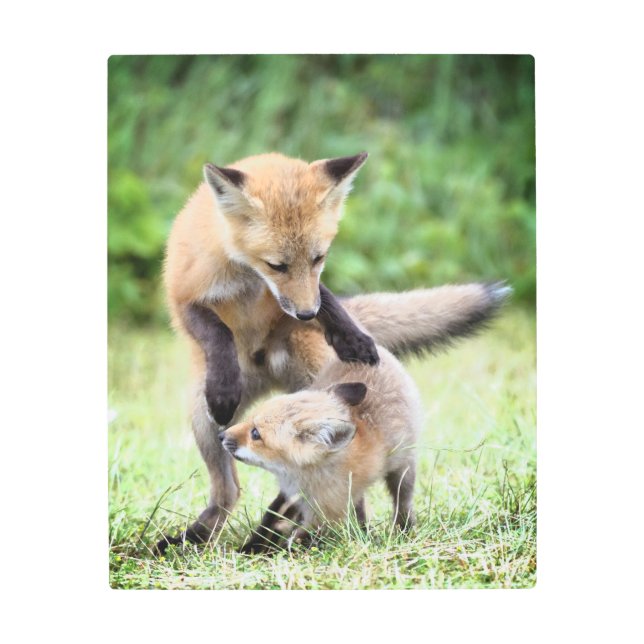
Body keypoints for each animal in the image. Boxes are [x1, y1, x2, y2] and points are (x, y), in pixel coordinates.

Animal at [220, 345, 422, 553]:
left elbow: (297, 542)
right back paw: (363, 531)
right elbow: (269, 520)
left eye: (255, 434)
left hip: (403, 469)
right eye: (249, 420)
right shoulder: (291, 496)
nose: (222, 435)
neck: (303, 477)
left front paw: (272, 553)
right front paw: (251, 548)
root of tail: (380, 350)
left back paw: (403, 528)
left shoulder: (325, 514)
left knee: (402, 500)